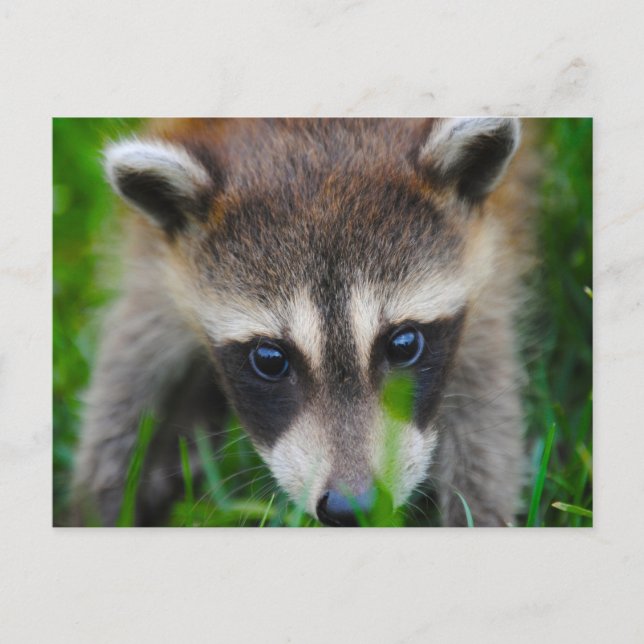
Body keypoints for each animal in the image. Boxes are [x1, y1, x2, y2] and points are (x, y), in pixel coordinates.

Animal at [72, 118, 537, 527]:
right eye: (270, 359)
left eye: (403, 345)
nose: (354, 507)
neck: (314, 132)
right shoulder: (158, 261)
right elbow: (129, 366)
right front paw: (103, 504)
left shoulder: (487, 260)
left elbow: (485, 410)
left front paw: (479, 513)